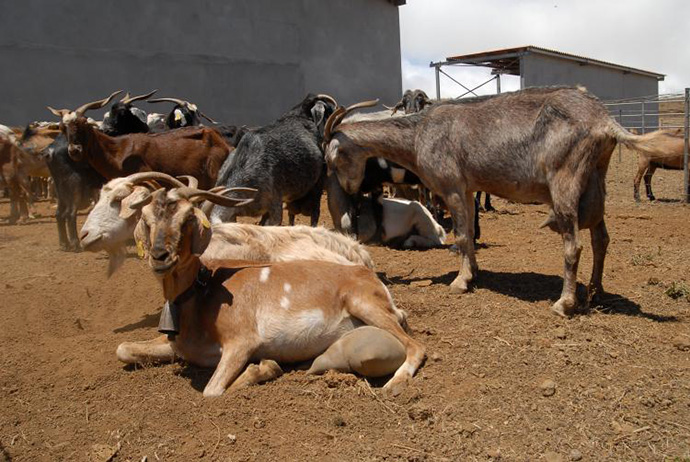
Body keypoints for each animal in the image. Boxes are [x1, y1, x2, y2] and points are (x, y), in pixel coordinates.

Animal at [114, 186, 424, 396]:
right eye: (146, 220)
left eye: (187, 218)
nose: (160, 256)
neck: (203, 294)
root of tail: (366, 271)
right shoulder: (179, 346)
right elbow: (123, 349)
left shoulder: (243, 341)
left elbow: (212, 391)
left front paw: (263, 368)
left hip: (365, 304)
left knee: (416, 347)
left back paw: (395, 383)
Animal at [324, 85, 668, 318]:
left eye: (333, 158)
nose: (350, 189)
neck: (419, 133)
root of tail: (604, 120)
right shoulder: (466, 189)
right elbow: (468, 233)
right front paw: (473, 272)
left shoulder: (451, 185)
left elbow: (462, 235)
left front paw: (460, 281)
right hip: (596, 179)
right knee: (601, 238)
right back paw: (596, 292)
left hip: (566, 178)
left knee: (574, 245)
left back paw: (564, 303)